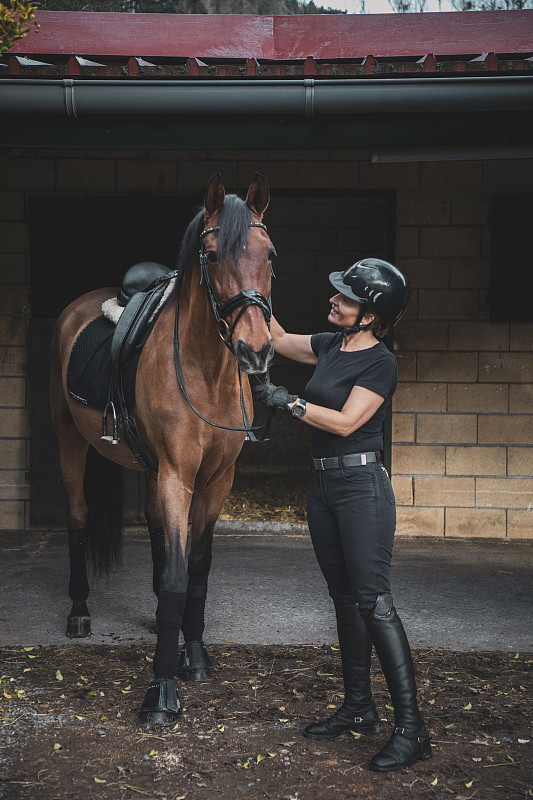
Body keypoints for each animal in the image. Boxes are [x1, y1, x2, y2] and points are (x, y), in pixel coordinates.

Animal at [49, 172, 274, 720]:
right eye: (212, 256)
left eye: (270, 254)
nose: (255, 351)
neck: (206, 373)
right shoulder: (177, 474)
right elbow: (175, 571)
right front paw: (162, 689)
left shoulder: (215, 481)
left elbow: (195, 567)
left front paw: (192, 654)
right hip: (71, 442)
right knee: (78, 516)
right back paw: (79, 612)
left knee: (153, 526)